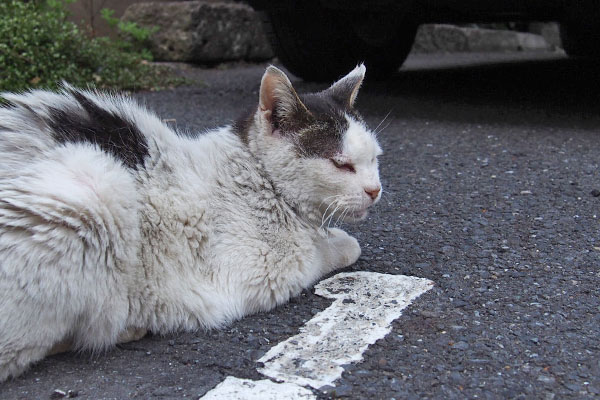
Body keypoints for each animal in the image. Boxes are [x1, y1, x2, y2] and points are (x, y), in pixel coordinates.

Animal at [0, 65, 382, 382]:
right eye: (341, 164)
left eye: (374, 159)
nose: (375, 190)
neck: (258, 178)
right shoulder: (267, 271)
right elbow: (335, 248)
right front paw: (337, 241)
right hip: (91, 192)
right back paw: (125, 326)